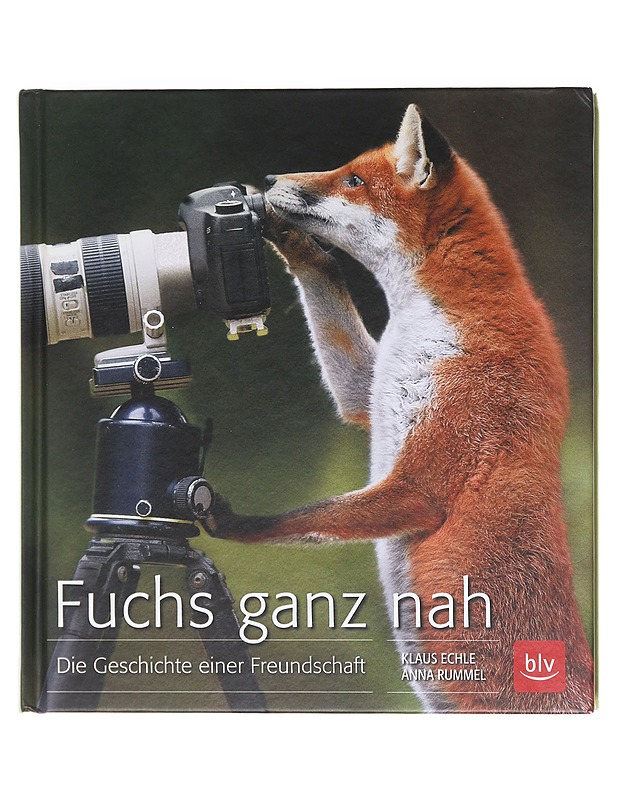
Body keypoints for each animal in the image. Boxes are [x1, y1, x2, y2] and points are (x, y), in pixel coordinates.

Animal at [206, 104, 594, 713]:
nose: (269, 180)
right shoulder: (369, 388)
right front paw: (290, 240)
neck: (424, 320)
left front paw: (227, 520)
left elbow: (304, 518)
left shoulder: (423, 481)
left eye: (353, 181)